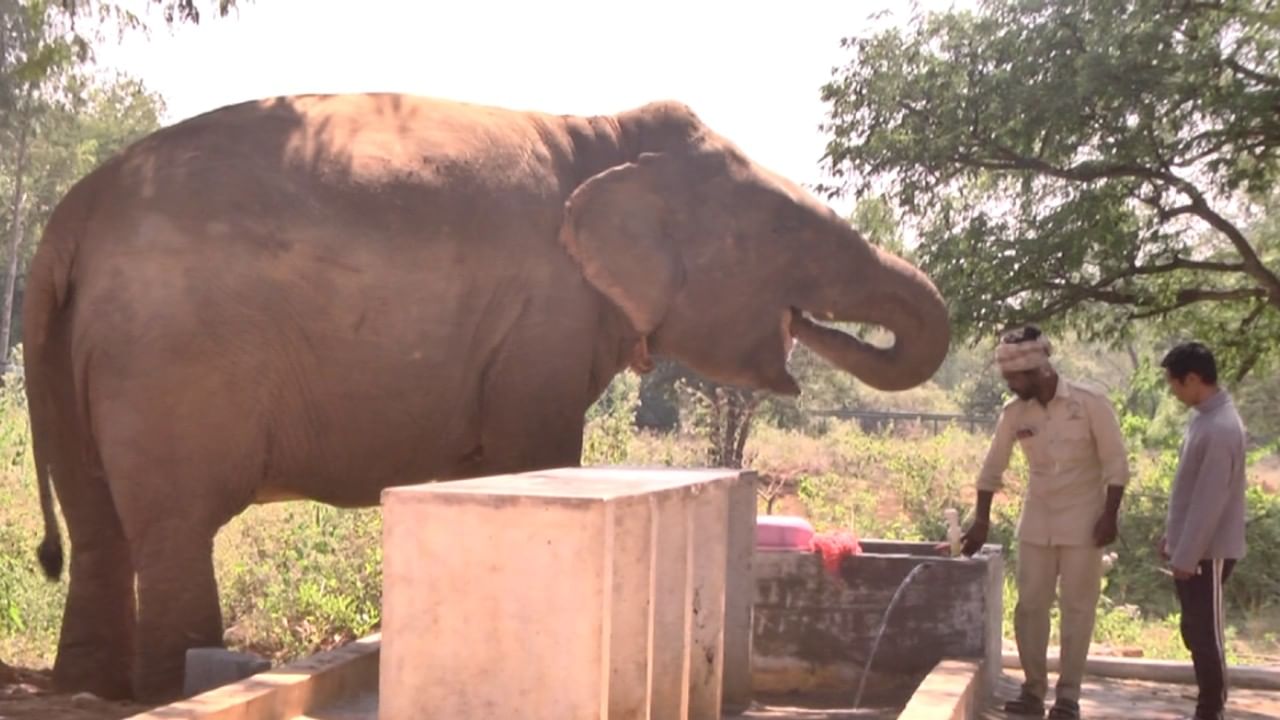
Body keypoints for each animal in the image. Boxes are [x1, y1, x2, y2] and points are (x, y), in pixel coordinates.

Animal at [22, 90, 952, 702]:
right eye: (789, 237)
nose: (814, 335)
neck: (603, 138)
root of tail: (72, 215)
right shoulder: (544, 320)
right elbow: (538, 453)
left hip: (71, 353)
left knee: (102, 529)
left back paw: (92, 692)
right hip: (170, 360)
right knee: (174, 528)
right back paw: (163, 690)